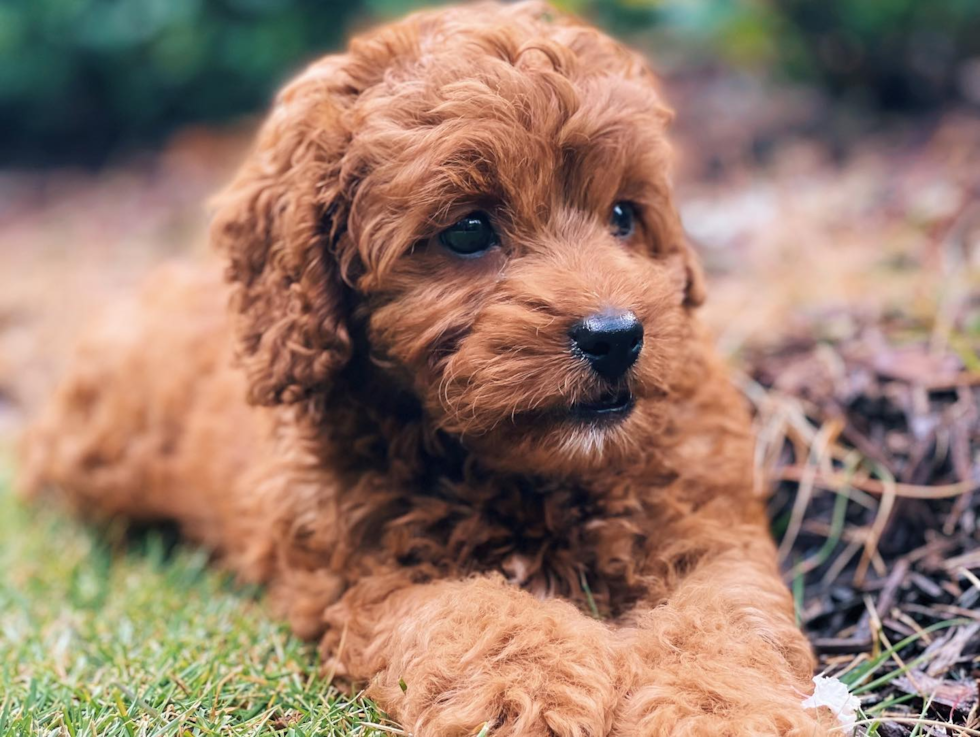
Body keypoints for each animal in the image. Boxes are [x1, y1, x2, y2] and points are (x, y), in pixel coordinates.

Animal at [21, 2, 836, 732]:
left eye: (623, 216)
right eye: (468, 231)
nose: (616, 337)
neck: (533, 477)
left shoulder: (711, 531)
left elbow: (729, 618)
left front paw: (727, 709)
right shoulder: (367, 574)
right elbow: (472, 609)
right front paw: (530, 688)